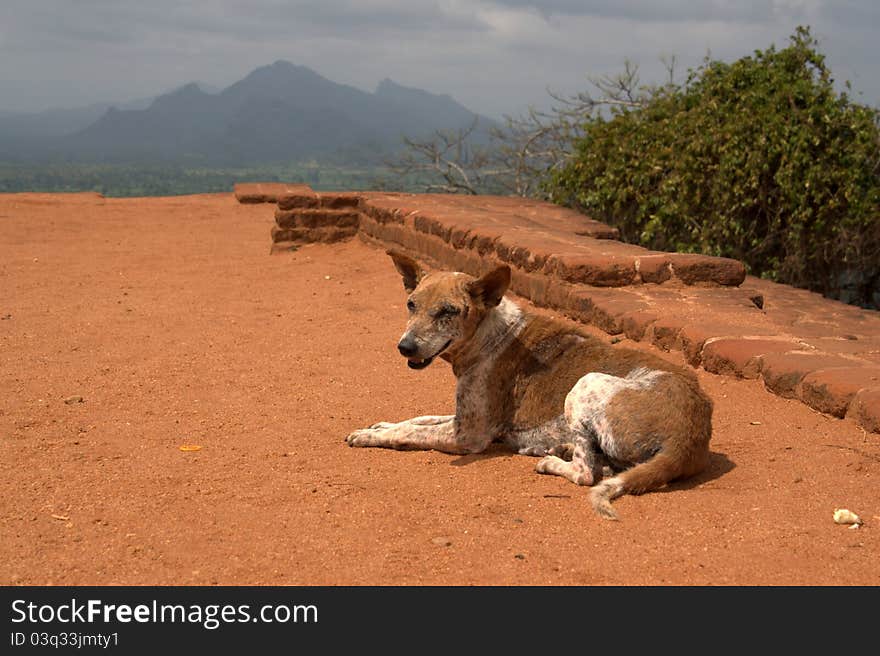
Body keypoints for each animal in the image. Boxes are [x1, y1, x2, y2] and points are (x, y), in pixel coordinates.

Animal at [346, 250, 716, 516]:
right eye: (411, 305)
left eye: (448, 311)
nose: (405, 347)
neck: (489, 334)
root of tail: (690, 436)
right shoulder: (464, 416)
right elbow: (417, 419)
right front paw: (379, 425)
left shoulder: (469, 434)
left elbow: (410, 432)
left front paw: (369, 436)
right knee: (602, 465)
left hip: (585, 384)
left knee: (586, 474)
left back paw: (552, 460)